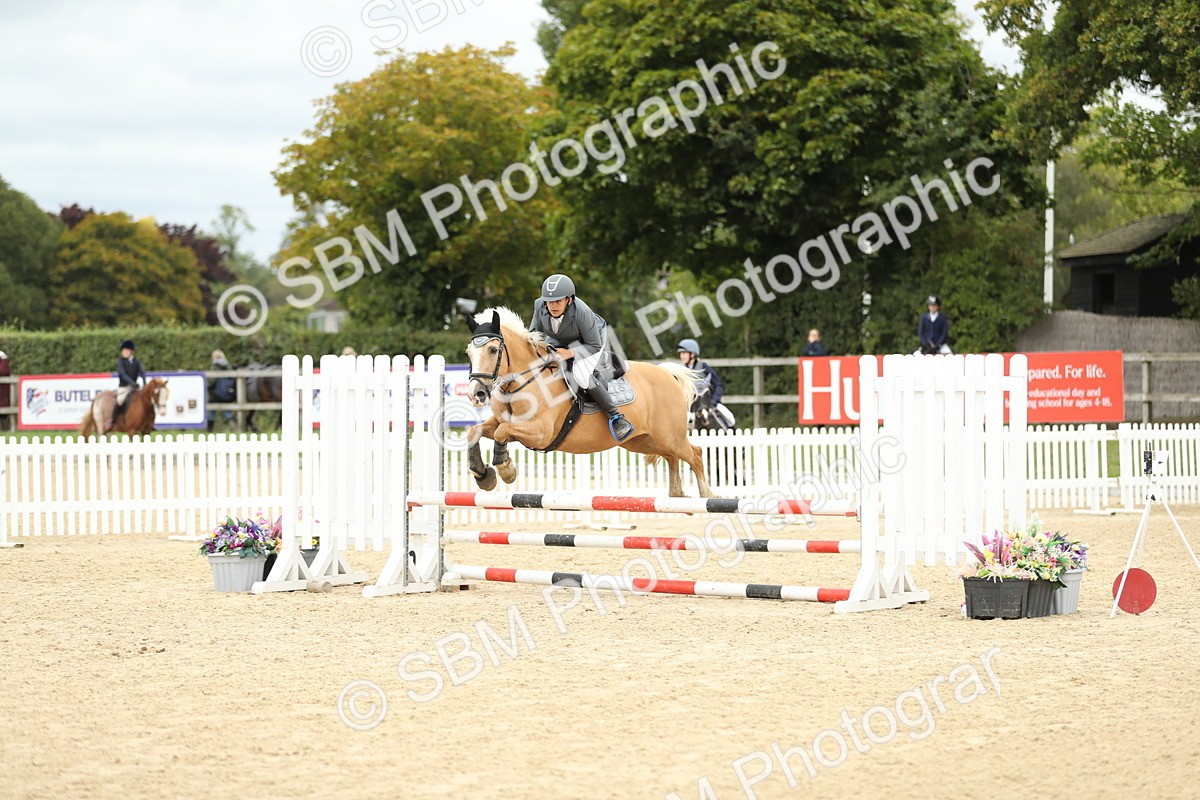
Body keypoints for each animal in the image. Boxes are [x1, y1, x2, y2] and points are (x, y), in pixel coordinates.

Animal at [463, 307, 713, 498]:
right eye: (468, 353)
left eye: (493, 349)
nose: (477, 394)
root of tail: (667, 374)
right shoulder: (504, 422)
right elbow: (476, 431)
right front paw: (483, 475)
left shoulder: (541, 432)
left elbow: (502, 432)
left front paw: (506, 470)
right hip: (643, 441)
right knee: (672, 457)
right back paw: (677, 495)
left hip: (670, 437)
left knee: (696, 454)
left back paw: (707, 494)